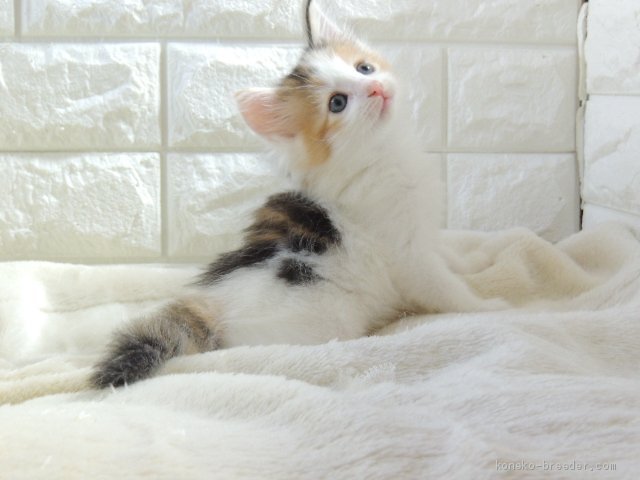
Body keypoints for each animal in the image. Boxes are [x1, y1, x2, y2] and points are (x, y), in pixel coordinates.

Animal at [91, 0, 501, 389]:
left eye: (364, 69)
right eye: (338, 103)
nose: (376, 89)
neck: (384, 153)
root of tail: (210, 303)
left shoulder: (423, 231)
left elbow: (446, 255)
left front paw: (473, 262)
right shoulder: (407, 257)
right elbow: (445, 288)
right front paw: (489, 305)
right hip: (322, 322)